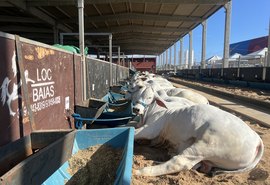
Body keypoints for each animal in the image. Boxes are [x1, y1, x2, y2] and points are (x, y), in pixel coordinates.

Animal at [133, 86, 264, 177]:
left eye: (150, 97)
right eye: (136, 96)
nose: (136, 109)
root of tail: (258, 140)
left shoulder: (152, 129)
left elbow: (136, 132)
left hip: (205, 146)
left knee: (180, 162)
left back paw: (140, 171)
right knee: (196, 165)